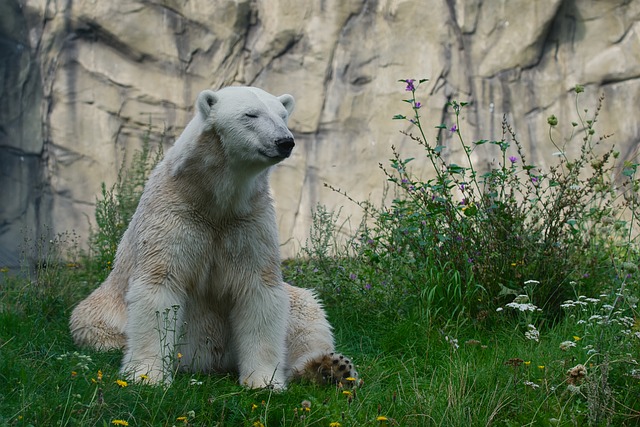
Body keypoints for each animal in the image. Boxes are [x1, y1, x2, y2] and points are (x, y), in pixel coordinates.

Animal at [72, 86, 358, 388]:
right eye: (251, 114)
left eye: (282, 115)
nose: (285, 141)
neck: (213, 199)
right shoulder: (175, 215)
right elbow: (159, 284)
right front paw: (146, 375)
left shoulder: (248, 222)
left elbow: (259, 289)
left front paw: (264, 381)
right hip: (103, 313)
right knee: (91, 323)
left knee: (307, 315)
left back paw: (330, 368)